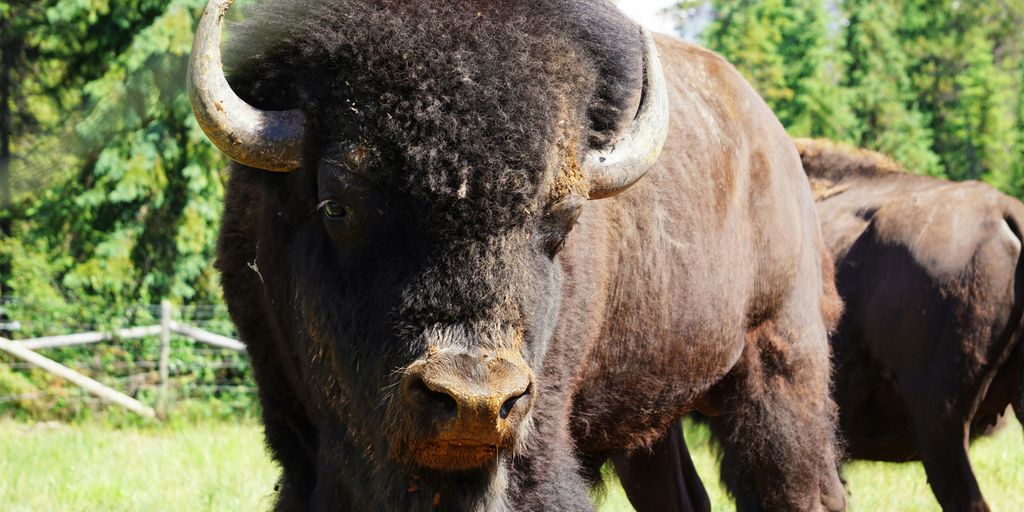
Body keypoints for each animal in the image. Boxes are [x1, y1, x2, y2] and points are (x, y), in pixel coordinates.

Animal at [188, 0, 846, 509]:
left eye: (564, 218)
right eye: (336, 205)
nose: (475, 398)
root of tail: (774, 143)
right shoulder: (296, 438)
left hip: (782, 366)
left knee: (802, 486)